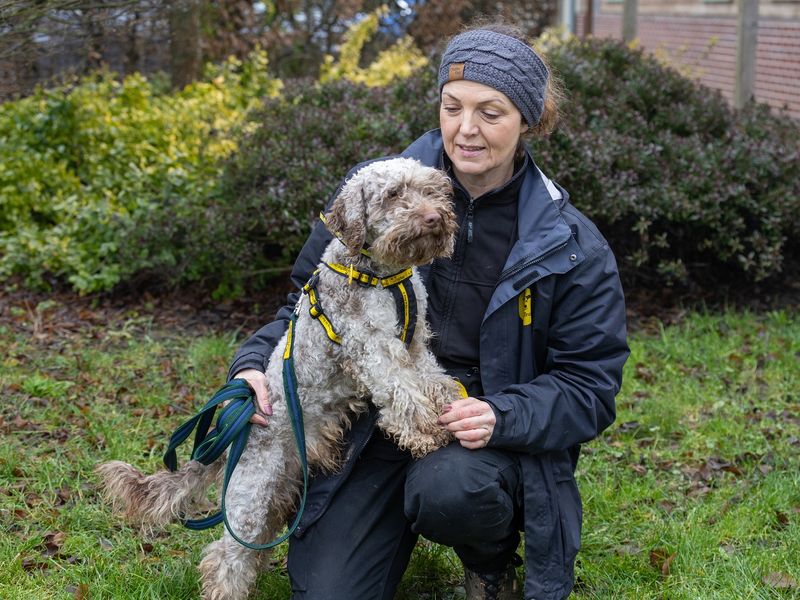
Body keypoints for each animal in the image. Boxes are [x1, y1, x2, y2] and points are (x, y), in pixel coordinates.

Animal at [96, 158, 462, 600]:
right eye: (393, 194)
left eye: (433, 190)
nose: (433, 217)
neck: (382, 276)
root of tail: (230, 436)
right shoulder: (374, 349)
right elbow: (403, 392)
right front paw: (427, 432)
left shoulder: (416, 343)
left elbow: (431, 378)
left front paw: (453, 405)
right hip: (251, 497)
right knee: (225, 558)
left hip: (277, 496)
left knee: (251, 552)